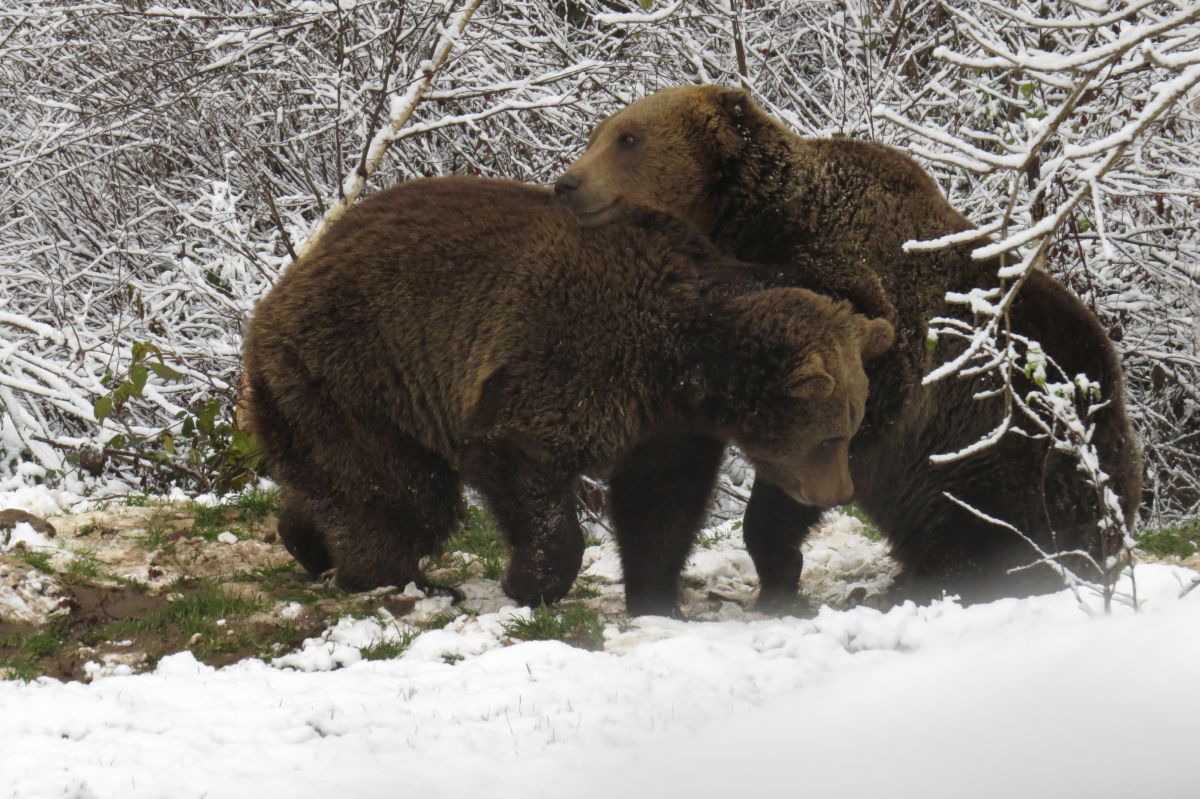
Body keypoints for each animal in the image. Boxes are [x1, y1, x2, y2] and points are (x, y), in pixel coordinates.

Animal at [243, 177, 897, 611]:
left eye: (850, 427)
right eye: (831, 435)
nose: (839, 492)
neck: (681, 359)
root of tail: (283, 287)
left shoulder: (667, 425)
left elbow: (661, 503)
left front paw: (655, 594)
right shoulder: (564, 355)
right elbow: (521, 461)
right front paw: (532, 582)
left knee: (350, 482)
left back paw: (307, 542)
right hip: (355, 372)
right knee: (404, 493)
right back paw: (402, 578)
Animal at [556, 82, 1137, 604]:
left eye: (628, 138)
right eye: (598, 134)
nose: (568, 182)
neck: (751, 228)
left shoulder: (877, 312)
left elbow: (833, 431)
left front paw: (778, 562)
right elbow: (664, 477)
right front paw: (653, 586)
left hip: (1012, 438)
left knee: (996, 521)